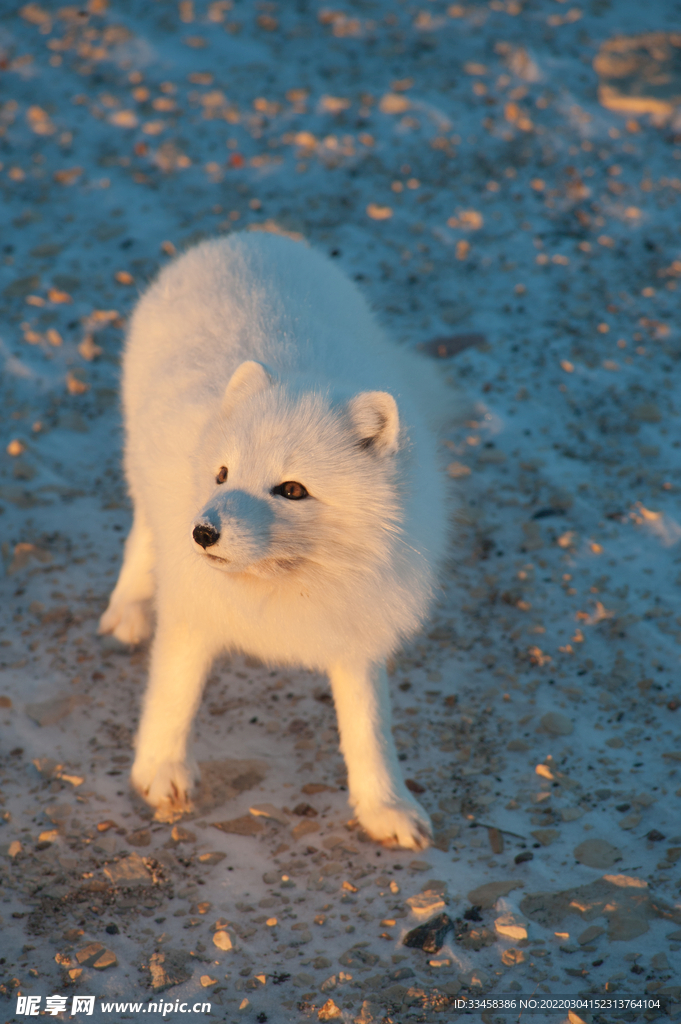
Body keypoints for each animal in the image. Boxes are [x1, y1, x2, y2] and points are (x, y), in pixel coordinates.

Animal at [98, 232, 454, 847]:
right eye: (222, 474)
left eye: (292, 489)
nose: (202, 532)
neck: (282, 581)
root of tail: (246, 238)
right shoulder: (194, 608)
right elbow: (174, 692)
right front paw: (161, 771)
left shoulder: (356, 631)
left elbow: (369, 727)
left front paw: (385, 807)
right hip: (140, 467)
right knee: (142, 533)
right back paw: (129, 607)